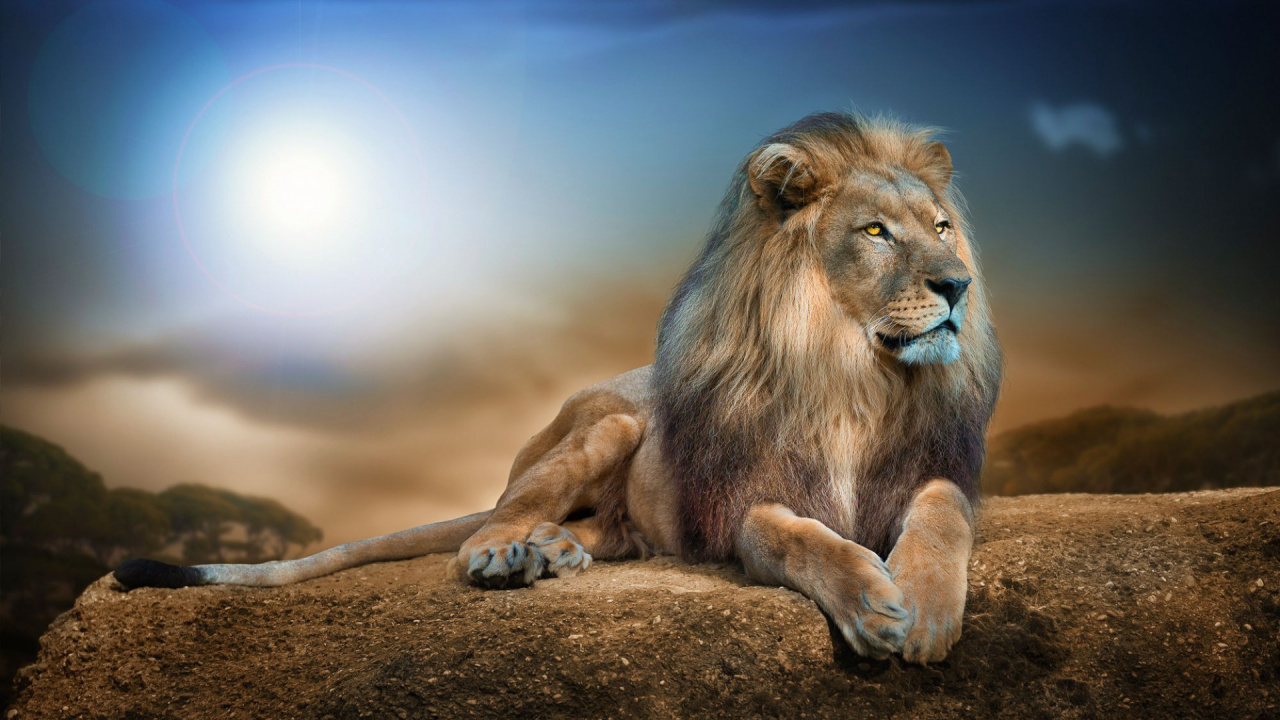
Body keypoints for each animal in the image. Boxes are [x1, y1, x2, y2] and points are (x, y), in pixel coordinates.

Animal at [116, 112, 1002, 664]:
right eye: (875, 232)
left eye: (943, 227)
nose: (958, 285)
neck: (852, 374)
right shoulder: (744, 503)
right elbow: (800, 539)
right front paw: (873, 603)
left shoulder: (931, 470)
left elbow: (942, 515)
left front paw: (923, 608)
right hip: (607, 426)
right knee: (490, 522)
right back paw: (509, 555)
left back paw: (556, 551)